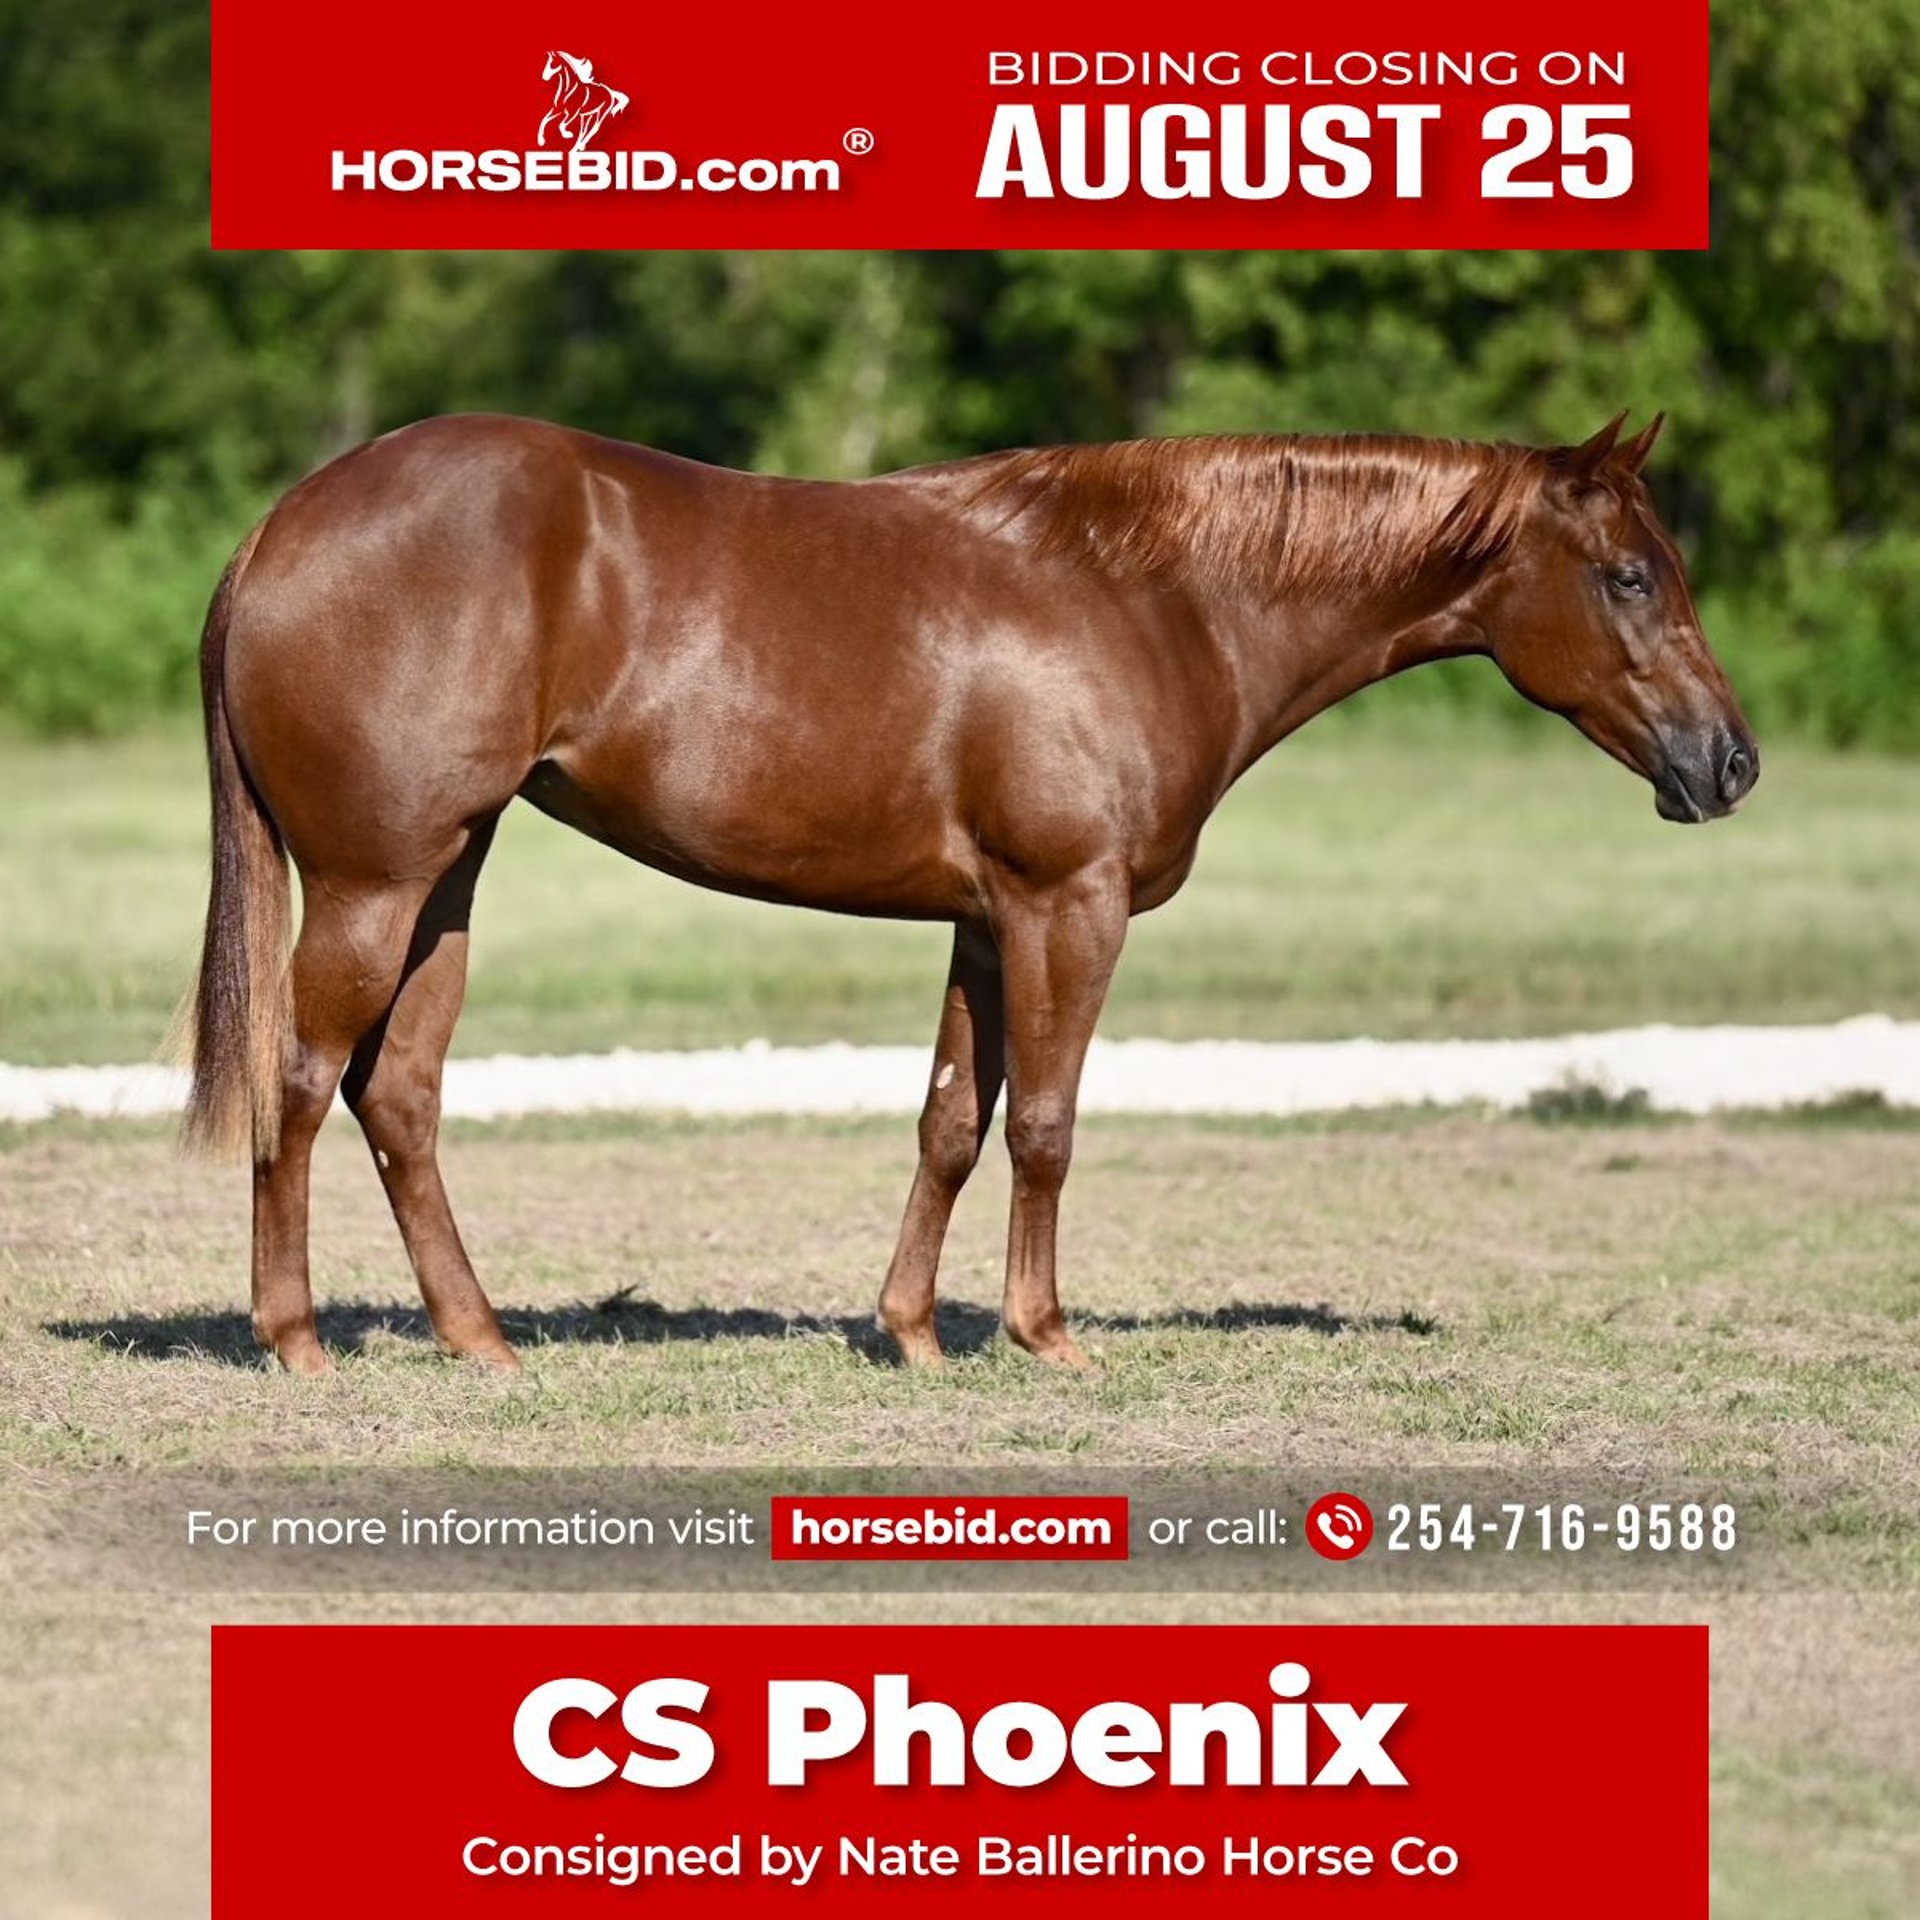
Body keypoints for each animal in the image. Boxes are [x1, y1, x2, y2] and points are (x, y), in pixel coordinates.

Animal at [181, 412, 1757, 1376]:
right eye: (1628, 575)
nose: (1730, 761)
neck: (1149, 598)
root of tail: (277, 529)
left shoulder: (988, 923)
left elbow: (951, 1120)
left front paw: (915, 1331)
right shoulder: (1070, 907)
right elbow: (1046, 1125)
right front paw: (1044, 1334)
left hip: (445, 881)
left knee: (399, 1097)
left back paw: (482, 1339)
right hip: (378, 884)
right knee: (304, 1082)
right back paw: (296, 1337)